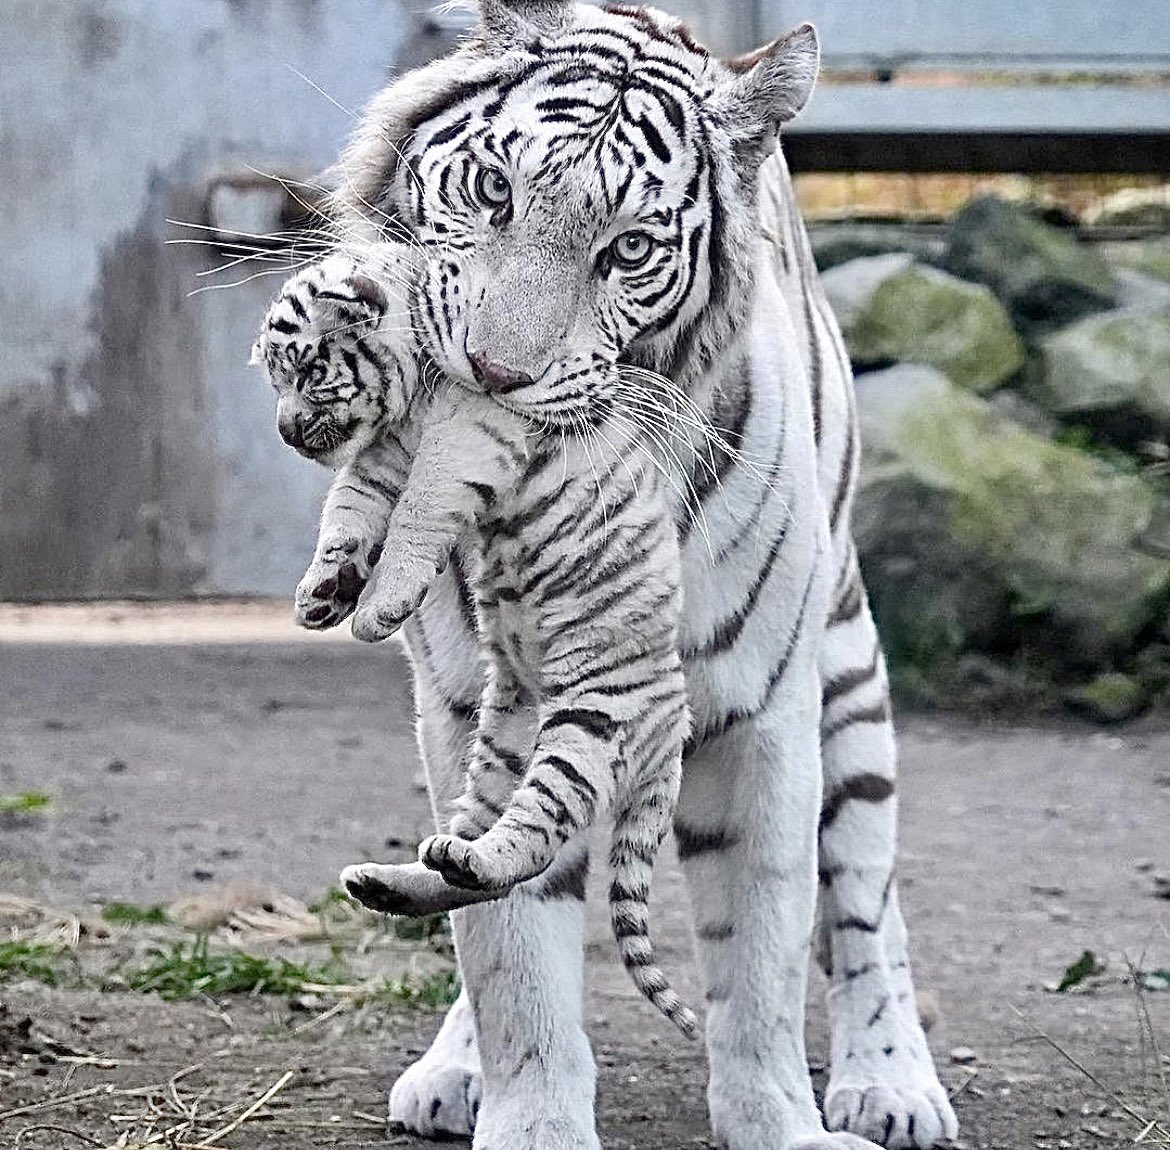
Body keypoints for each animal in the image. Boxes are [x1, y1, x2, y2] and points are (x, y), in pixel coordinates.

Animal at [253, 248, 699, 1037]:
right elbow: (349, 509)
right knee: (471, 855)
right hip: (504, 739)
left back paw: (470, 861)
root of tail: (675, 734)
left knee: (532, 839)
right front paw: (322, 592)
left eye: (307, 370)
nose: (285, 432)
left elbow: (414, 515)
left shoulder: (466, 435)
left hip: (590, 725)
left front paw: (375, 609)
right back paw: (395, 880)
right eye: (275, 378)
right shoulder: (384, 454)